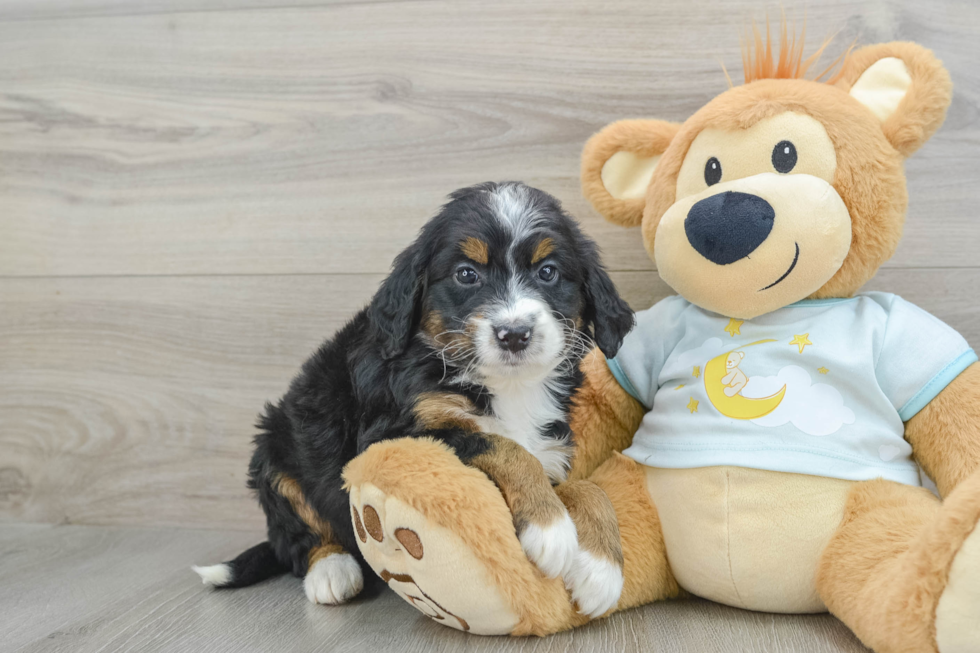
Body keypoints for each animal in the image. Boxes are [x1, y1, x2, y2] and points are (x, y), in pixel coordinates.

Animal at [193, 181, 636, 612]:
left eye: (548, 272)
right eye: (466, 274)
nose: (514, 334)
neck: (507, 386)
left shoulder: (552, 444)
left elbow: (586, 487)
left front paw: (601, 571)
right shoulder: (395, 435)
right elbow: (505, 447)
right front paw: (551, 528)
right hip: (274, 448)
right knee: (297, 535)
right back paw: (332, 571)